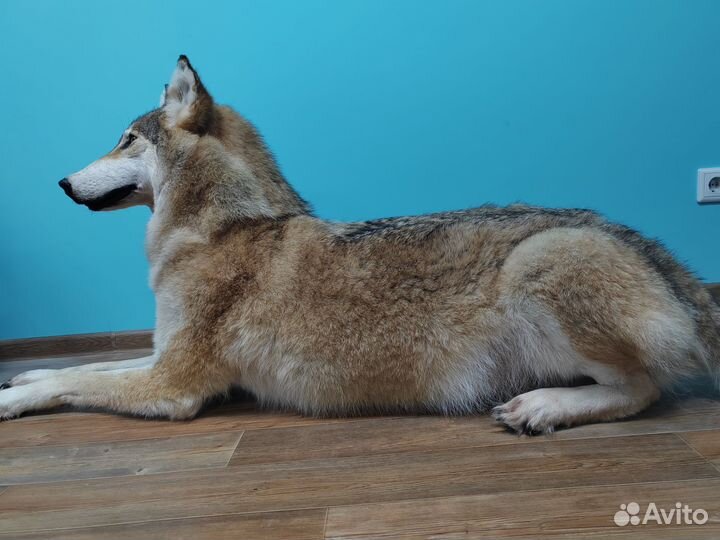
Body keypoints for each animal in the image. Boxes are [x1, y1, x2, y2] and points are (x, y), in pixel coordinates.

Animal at [1, 55, 718, 434]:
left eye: (125, 139)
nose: (59, 182)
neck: (222, 229)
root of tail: (664, 258)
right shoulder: (160, 359)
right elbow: (86, 368)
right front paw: (26, 373)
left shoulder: (174, 385)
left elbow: (79, 380)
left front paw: (13, 397)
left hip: (538, 263)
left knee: (646, 390)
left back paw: (543, 407)